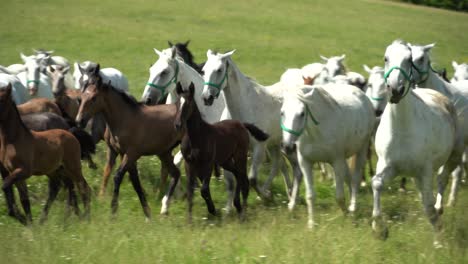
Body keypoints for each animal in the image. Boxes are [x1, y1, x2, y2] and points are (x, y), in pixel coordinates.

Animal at [0, 83, 91, 224]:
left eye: (2, 100)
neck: (14, 139)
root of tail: (69, 132)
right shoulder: (12, 172)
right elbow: (24, 199)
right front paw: (29, 224)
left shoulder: (23, 171)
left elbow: (6, 187)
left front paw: (22, 219)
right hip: (56, 169)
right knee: (62, 186)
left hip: (72, 167)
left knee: (82, 186)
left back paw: (84, 217)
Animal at [74, 69, 181, 218]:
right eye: (80, 98)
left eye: (94, 98)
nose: (79, 121)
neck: (125, 119)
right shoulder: (120, 153)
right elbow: (133, 180)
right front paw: (147, 212)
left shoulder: (132, 154)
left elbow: (118, 176)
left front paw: (113, 210)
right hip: (163, 152)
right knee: (175, 173)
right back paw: (165, 208)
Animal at [174, 82, 268, 219]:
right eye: (177, 103)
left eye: (188, 103)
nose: (177, 124)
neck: (196, 136)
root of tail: (241, 124)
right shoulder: (189, 164)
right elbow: (191, 190)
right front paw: (189, 220)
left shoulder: (208, 164)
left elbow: (204, 189)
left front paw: (213, 210)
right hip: (226, 161)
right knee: (237, 175)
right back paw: (237, 205)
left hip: (240, 156)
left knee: (244, 180)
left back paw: (243, 213)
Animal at [201, 49, 304, 206]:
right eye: (204, 70)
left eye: (219, 70)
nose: (206, 98)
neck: (245, 106)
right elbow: (231, 181)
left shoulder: (259, 148)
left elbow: (252, 179)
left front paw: (266, 196)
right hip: (276, 144)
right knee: (280, 165)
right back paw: (287, 193)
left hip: (289, 146)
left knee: (296, 170)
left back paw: (291, 199)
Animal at [372, 40, 466, 246]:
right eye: (386, 58)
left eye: (409, 59)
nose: (395, 89)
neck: (402, 129)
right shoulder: (388, 166)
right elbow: (376, 184)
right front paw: (379, 229)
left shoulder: (425, 171)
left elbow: (428, 206)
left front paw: (438, 240)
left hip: (453, 156)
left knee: (442, 180)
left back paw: (441, 208)